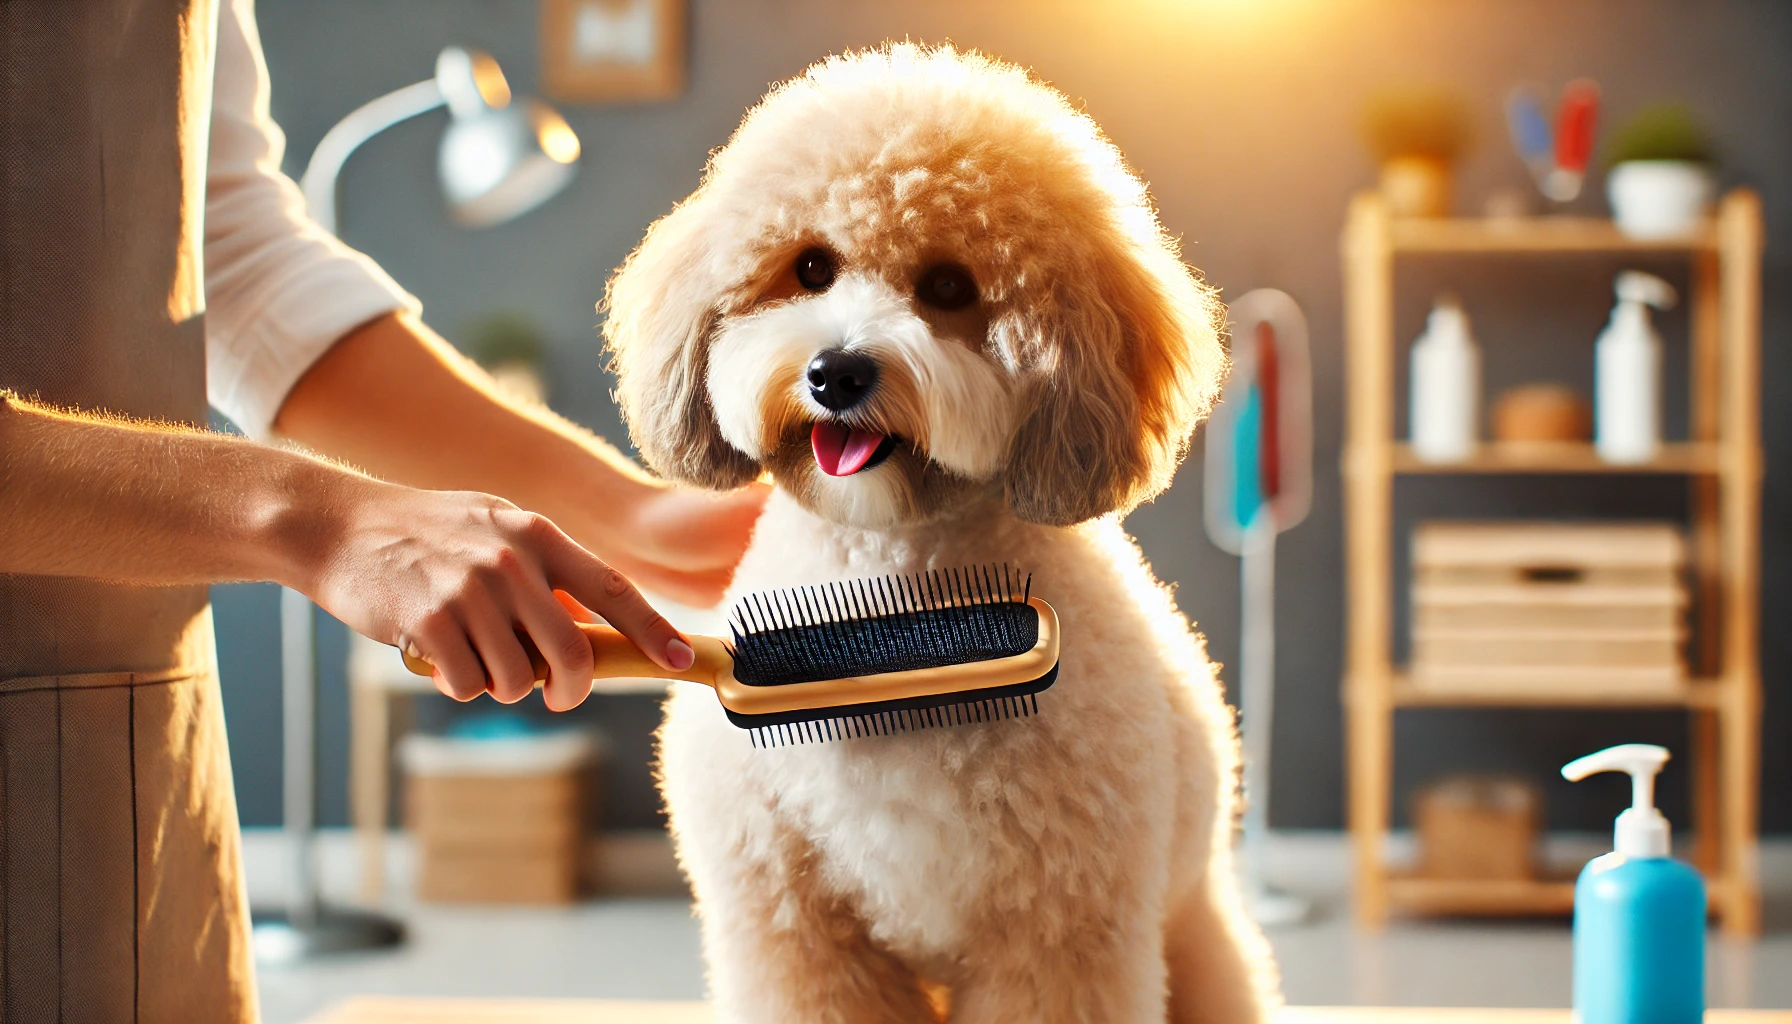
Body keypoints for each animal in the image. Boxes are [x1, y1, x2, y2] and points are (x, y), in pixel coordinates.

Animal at [609, 42, 1283, 1024]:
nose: (837, 371)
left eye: (949, 287)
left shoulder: (1062, 932)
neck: (895, 623)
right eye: (810, 268)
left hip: (1194, 935)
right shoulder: (794, 930)